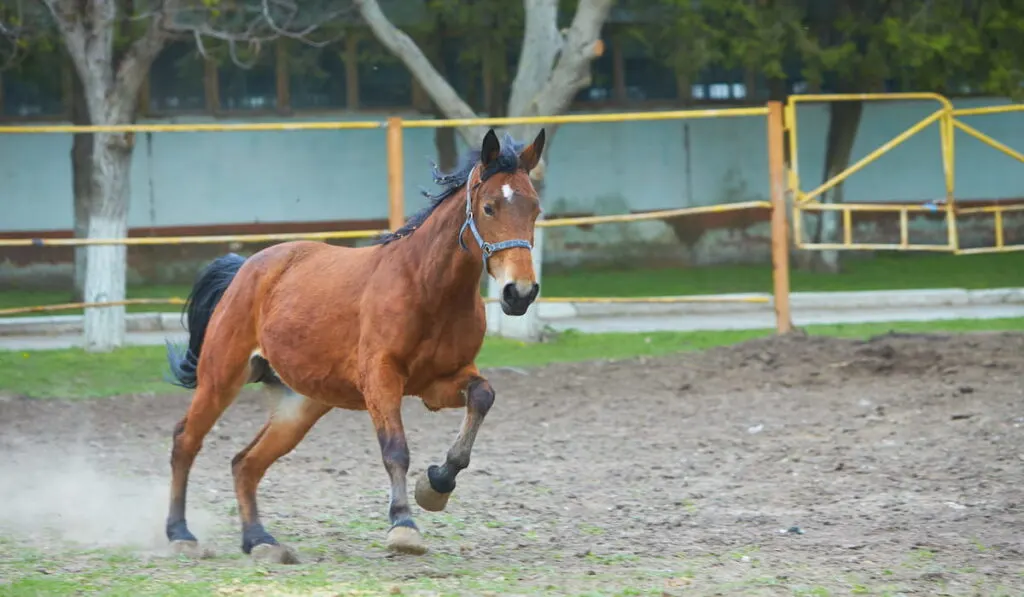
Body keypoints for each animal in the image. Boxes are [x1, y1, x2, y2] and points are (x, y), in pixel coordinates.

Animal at [163, 128, 548, 561]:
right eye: (489, 207)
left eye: (534, 209)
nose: (520, 293)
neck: (427, 288)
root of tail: (246, 267)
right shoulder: (381, 378)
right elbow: (395, 449)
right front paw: (403, 526)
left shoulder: (438, 384)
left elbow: (482, 397)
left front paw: (436, 484)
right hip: (221, 377)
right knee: (186, 440)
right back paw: (180, 533)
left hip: (301, 406)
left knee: (246, 462)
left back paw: (259, 540)